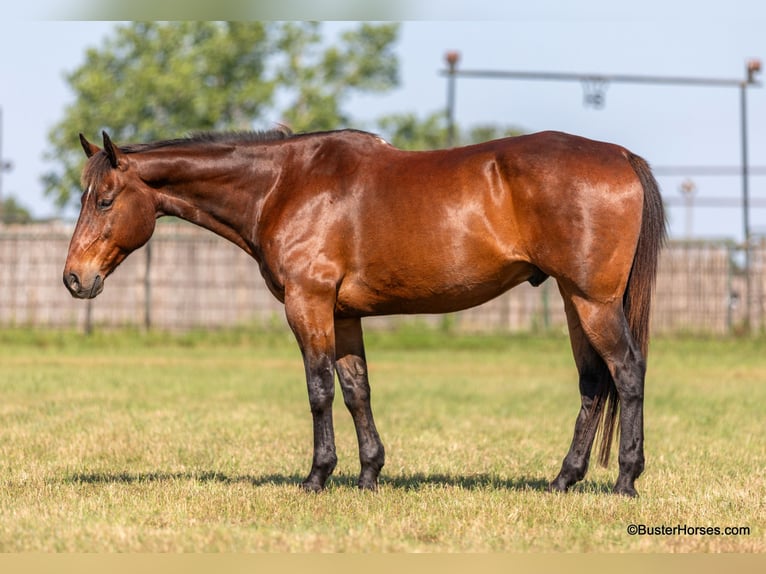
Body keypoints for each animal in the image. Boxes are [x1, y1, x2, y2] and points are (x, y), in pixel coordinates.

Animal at [63, 128, 666, 496]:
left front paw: (317, 476)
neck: (282, 186)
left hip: (593, 303)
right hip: (572, 301)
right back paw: (564, 479)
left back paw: (625, 480)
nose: (74, 278)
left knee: (627, 372)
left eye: (105, 200)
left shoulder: (308, 304)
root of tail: (619, 156)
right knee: (593, 384)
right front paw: (369, 474)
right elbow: (357, 390)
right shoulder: (344, 315)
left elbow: (319, 390)